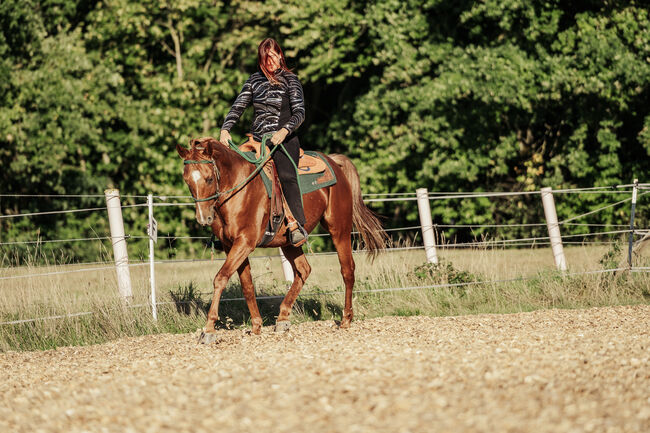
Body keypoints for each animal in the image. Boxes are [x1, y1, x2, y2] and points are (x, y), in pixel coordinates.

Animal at [176, 137, 384, 342]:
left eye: (209, 178)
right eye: (187, 181)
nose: (203, 218)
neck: (239, 189)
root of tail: (333, 162)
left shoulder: (245, 242)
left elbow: (220, 278)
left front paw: (209, 330)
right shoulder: (231, 246)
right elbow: (247, 285)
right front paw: (256, 325)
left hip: (339, 229)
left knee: (347, 269)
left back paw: (346, 319)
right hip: (290, 243)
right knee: (303, 270)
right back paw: (283, 318)